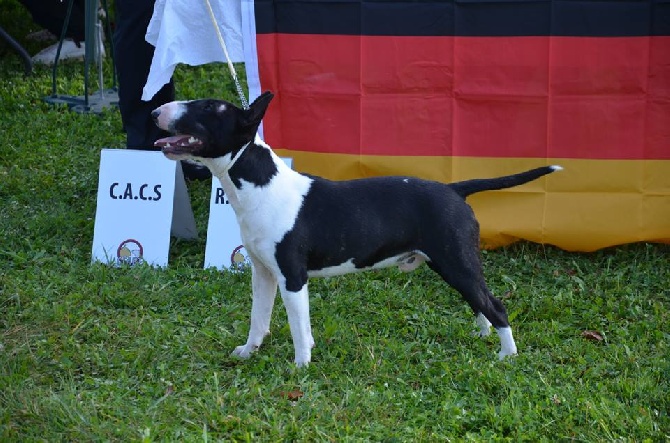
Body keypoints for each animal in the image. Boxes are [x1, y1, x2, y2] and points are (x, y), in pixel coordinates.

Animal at [152, 91, 560, 368]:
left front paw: (301, 367)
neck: (258, 182)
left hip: (455, 259)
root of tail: (454, 189)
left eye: (211, 107)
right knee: (478, 302)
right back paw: (482, 335)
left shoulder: (293, 276)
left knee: (495, 304)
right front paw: (248, 352)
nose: (155, 111)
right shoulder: (263, 273)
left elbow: (298, 326)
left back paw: (507, 355)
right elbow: (259, 318)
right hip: (451, 263)